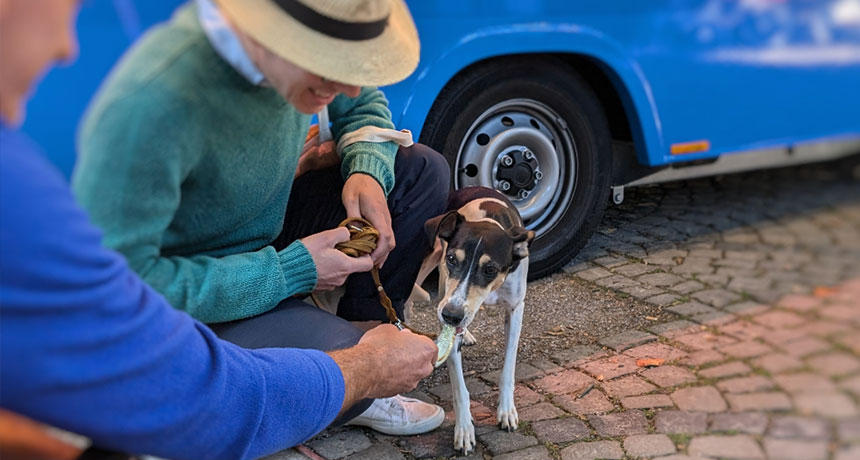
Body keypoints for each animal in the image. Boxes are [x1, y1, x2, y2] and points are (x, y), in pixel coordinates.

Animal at [408, 186, 536, 452]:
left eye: (490, 269)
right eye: (452, 259)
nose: (451, 315)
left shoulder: (515, 309)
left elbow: (508, 367)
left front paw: (506, 410)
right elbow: (460, 389)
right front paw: (464, 429)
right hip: (433, 257)